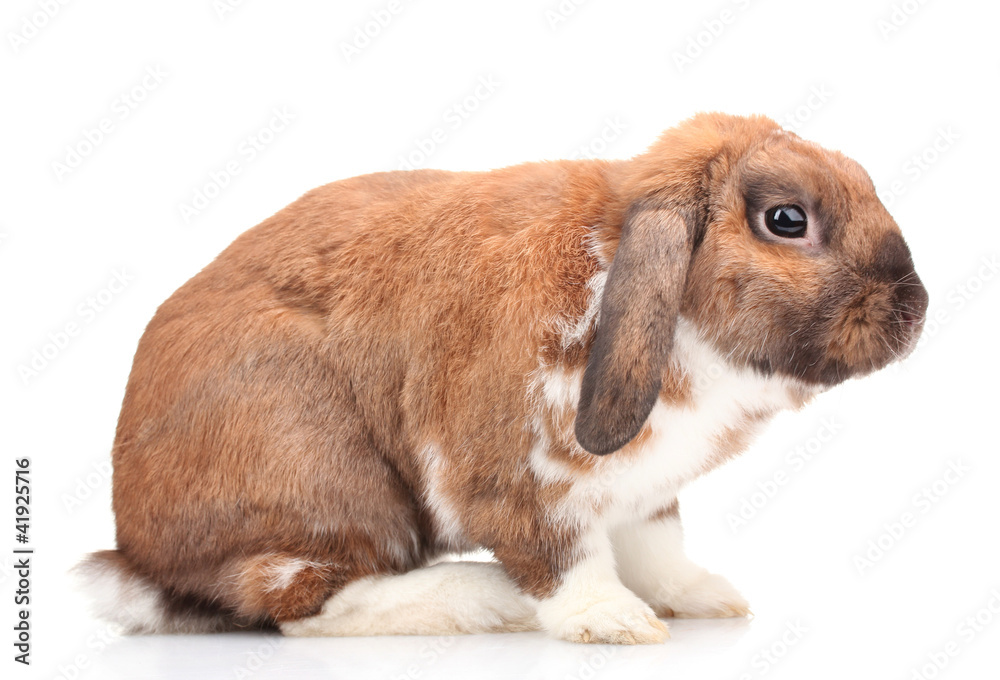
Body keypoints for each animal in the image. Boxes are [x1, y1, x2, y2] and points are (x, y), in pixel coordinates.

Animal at [76, 113, 928, 644]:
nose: (912, 308)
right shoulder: (516, 483)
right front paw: (616, 623)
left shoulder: (644, 493)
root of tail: (140, 558)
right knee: (302, 600)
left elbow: (659, 546)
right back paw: (484, 602)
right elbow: (563, 558)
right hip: (325, 478)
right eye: (786, 220)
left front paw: (701, 598)